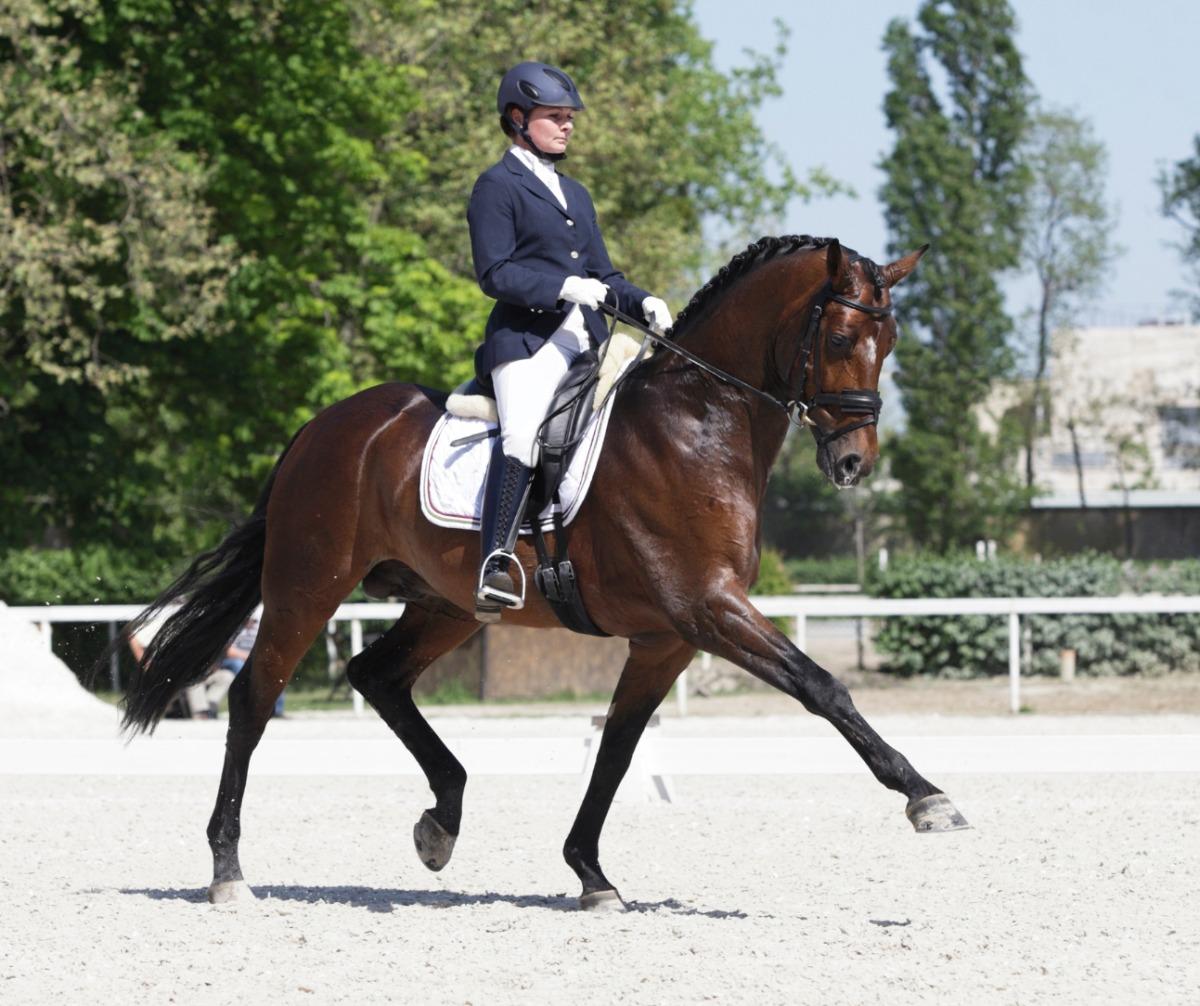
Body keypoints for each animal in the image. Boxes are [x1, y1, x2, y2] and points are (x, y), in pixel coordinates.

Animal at [97, 234, 967, 911]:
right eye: (839, 339)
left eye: (890, 343)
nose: (854, 464)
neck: (697, 424)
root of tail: (322, 425)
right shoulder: (709, 610)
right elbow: (824, 687)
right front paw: (928, 798)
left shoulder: (667, 638)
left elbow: (618, 748)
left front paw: (591, 874)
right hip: (308, 585)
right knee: (254, 697)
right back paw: (228, 871)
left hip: (443, 603)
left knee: (377, 675)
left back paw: (441, 822)